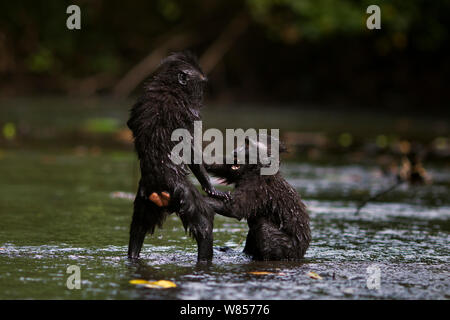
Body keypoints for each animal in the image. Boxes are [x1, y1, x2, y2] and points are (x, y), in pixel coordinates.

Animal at [126, 52, 229, 262]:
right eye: (201, 85)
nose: (201, 97)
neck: (169, 85)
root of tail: (158, 189)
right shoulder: (187, 112)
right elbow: (190, 148)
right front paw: (212, 188)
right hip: (184, 194)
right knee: (204, 224)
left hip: (145, 200)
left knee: (138, 227)